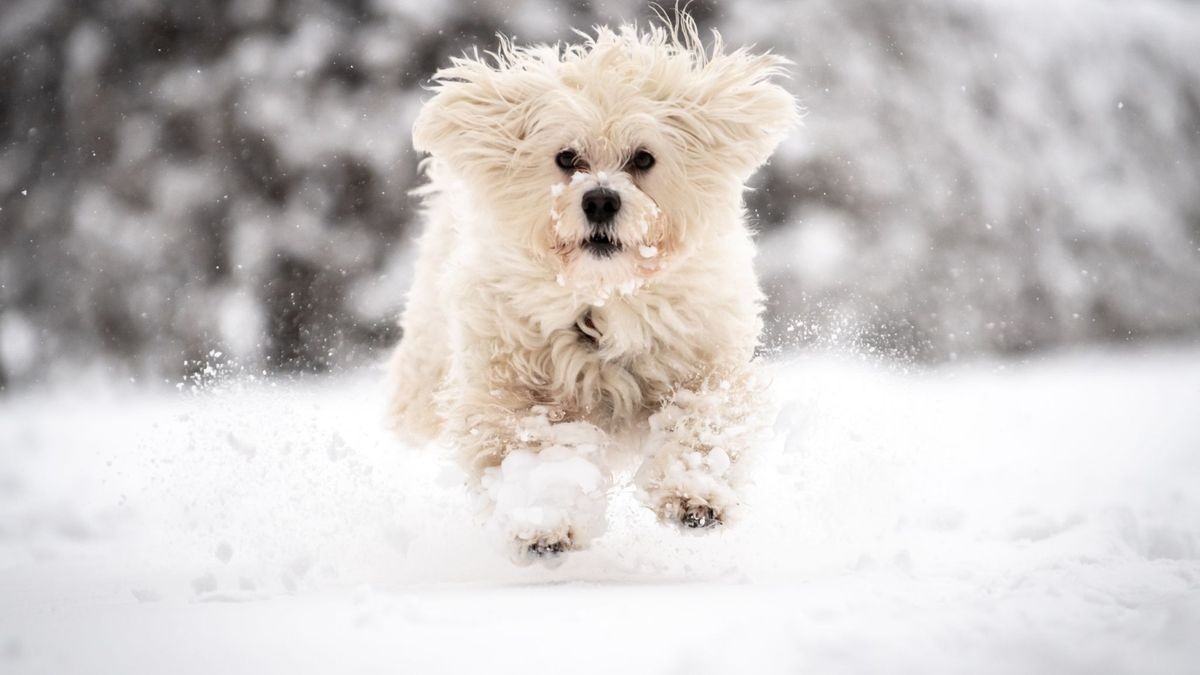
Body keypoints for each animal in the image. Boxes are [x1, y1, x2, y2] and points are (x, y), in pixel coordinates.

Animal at [386, 15, 796, 562]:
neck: (605, 296)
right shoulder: (513, 386)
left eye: (643, 158)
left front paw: (695, 494)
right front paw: (545, 521)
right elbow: (533, 444)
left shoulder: (705, 361)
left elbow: (701, 420)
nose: (600, 199)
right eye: (566, 157)